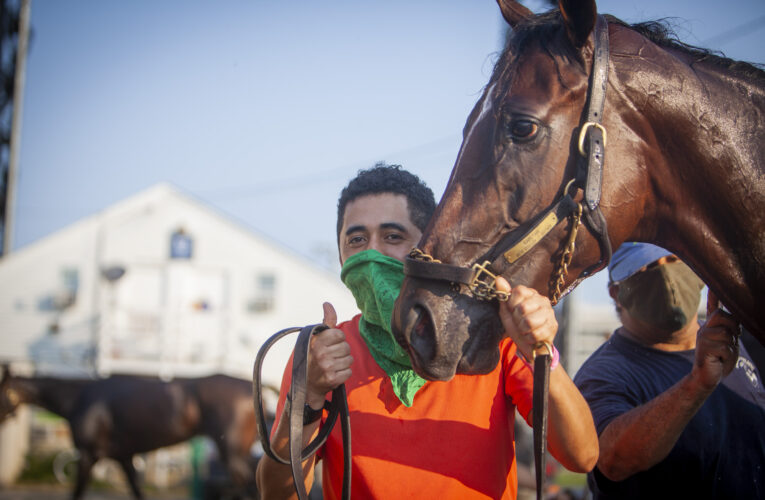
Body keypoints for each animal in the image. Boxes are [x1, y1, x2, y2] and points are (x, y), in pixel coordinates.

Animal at [0, 366, 266, 498]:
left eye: (1, 390)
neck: (80, 398)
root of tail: (252, 387)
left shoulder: (87, 456)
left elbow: (76, 493)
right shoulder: (124, 458)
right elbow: (137, 492)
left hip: (232, 456)